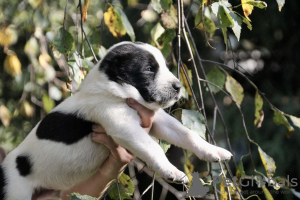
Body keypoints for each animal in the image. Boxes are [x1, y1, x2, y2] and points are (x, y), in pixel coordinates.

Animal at [0, 41, 232, 199]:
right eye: (149, 69)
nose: (178, 87)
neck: (116, 91)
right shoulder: (123, 125)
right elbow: (153, 147)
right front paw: (172, 171)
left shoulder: (158, 120)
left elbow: (187, 134)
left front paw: (214, 151)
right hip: (17, 192)